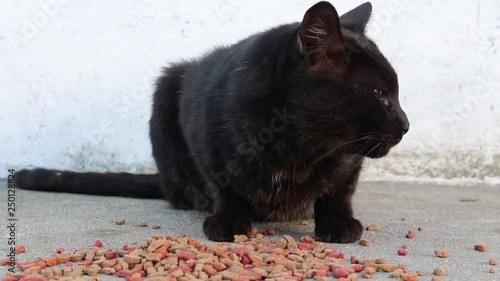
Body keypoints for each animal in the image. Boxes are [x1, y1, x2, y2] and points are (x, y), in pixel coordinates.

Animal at [18, 1, 410, 243]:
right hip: (167, 89)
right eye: (380, 93)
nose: (406, 124)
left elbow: (340, 189)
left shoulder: (349, 158)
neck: (299, 144)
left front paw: (339, 223)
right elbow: (225, 184)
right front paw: (229, 220)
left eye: (393, 92)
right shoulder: (204, 136)